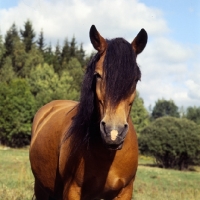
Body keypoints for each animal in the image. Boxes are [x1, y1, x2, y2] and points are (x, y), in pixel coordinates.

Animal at [29, 25, 147, 200]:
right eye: (97, 75)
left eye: (136, 79)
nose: (113, 133)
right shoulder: (73, 190)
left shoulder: (124, 192)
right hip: (41, 188)